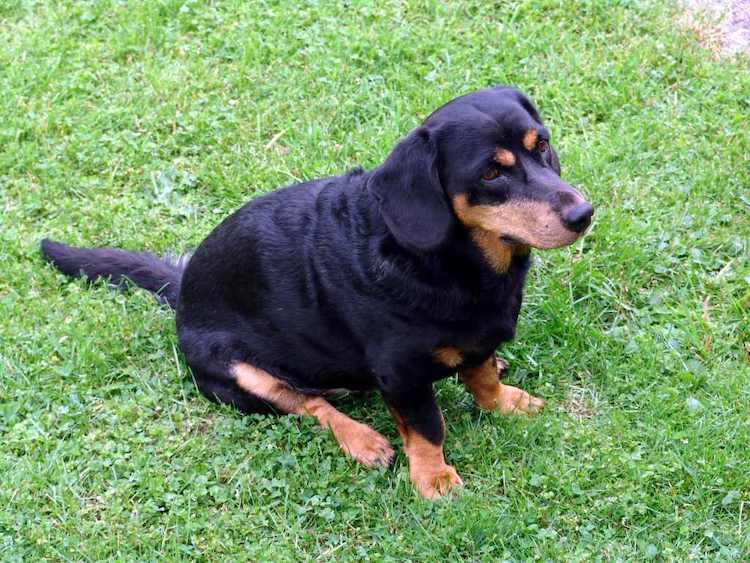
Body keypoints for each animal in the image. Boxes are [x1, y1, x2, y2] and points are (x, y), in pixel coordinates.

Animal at [42, 86, 592, 500]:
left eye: (541, 144)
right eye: (491, 172)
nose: (583, 214)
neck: (450, 265)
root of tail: (183, 288)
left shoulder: (475, 341)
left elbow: (481, 376)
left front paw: (505, 400)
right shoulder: (402, 374)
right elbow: (427, 426)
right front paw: (433, 478)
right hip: (236, 369)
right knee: (308, 403)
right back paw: (362, 440)